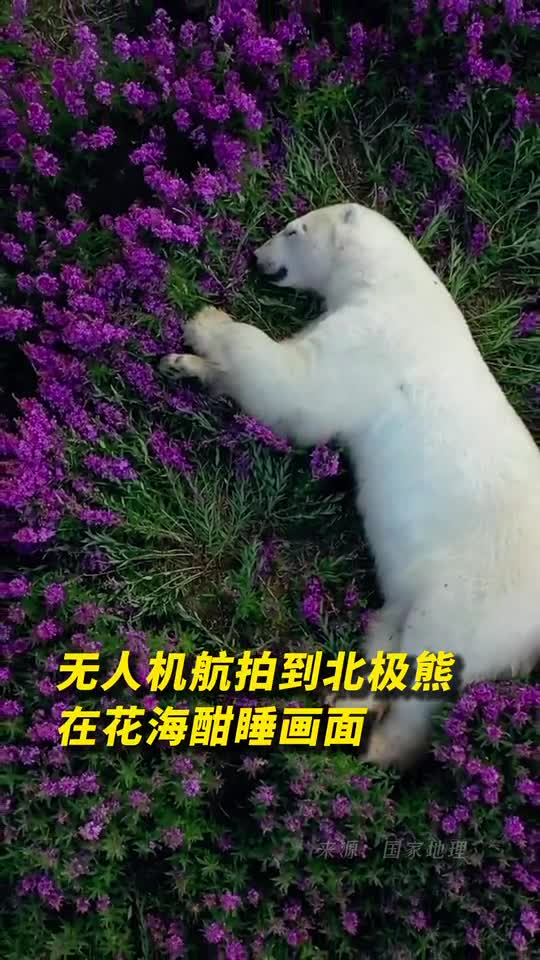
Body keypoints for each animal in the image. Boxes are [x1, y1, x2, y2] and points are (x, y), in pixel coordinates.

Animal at [160, 202, 540, 770]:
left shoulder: (373, 341)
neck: (396, 283)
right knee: (388, 633)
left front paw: (205, 323)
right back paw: (345, 700)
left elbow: (297, 388)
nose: (256, 257)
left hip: (473, 596)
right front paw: (182, 364)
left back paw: (377, 746)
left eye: (292, 229)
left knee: (429, 664)